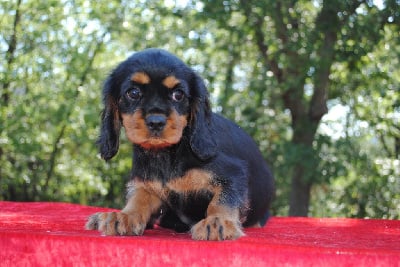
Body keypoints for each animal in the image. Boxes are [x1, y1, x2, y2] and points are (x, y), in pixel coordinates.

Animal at [86, 49, 276, 242]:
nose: (156, 122)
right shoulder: (146, 184)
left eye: (178, 95)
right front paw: (125, 216)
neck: (168, 153)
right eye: (133, 93)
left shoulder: (233, 174)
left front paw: (217, 221)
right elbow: (138, 199)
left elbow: (223, 199)